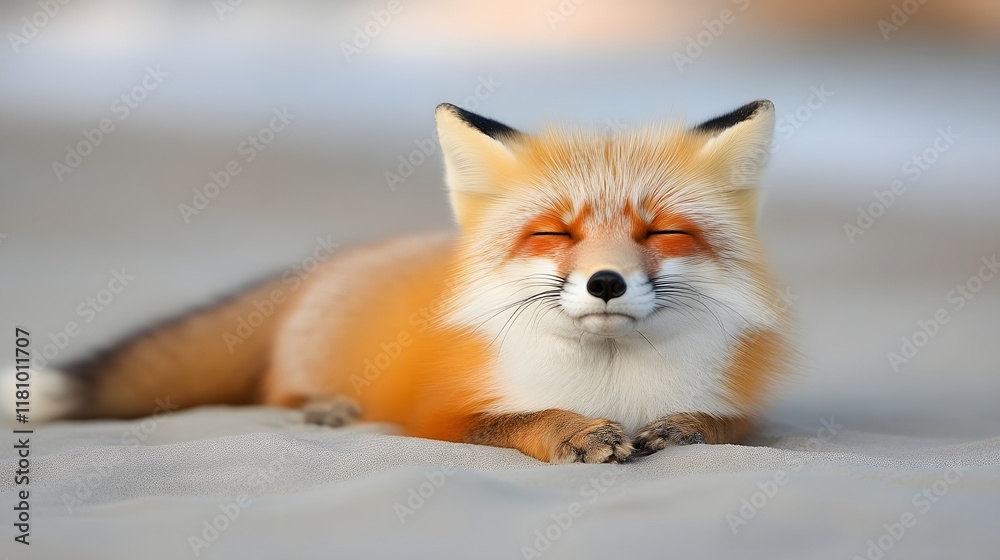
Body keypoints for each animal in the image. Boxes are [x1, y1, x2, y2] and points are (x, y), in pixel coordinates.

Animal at [15, 99, 792, 464]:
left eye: (660, 234)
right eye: (553, 234)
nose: (605, 282)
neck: (610, 385)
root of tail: (340, 257)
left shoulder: (747, 412)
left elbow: (723, 424)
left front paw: (682, 428)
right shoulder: (439, 414)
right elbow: (525, 418)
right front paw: (573, 432)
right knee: (278, 389)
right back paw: (323, 408)